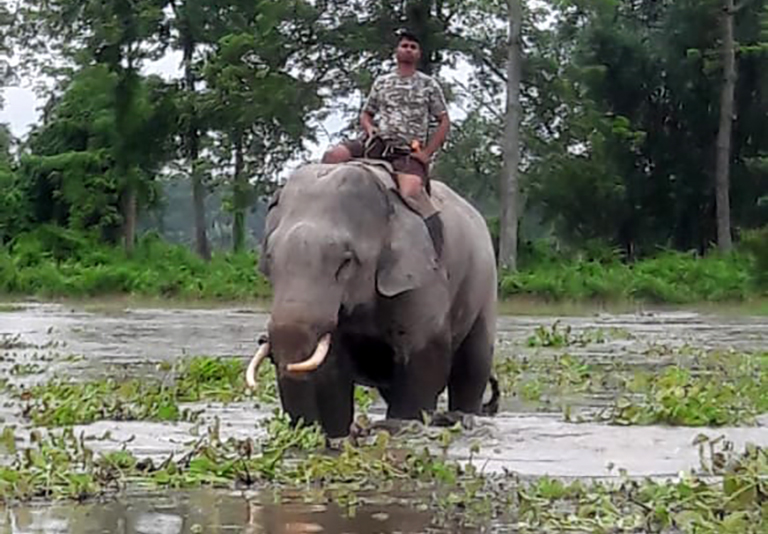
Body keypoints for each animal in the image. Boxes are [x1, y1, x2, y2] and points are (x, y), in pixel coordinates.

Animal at [246, 159, 498, 440]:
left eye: (346, 261)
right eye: (269, 258)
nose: (305, 428)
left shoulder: (421, 280)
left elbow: (423, 361)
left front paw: (403, 426)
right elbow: (332, 371)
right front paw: (336, 437)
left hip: (484, 281)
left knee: (473, 362)